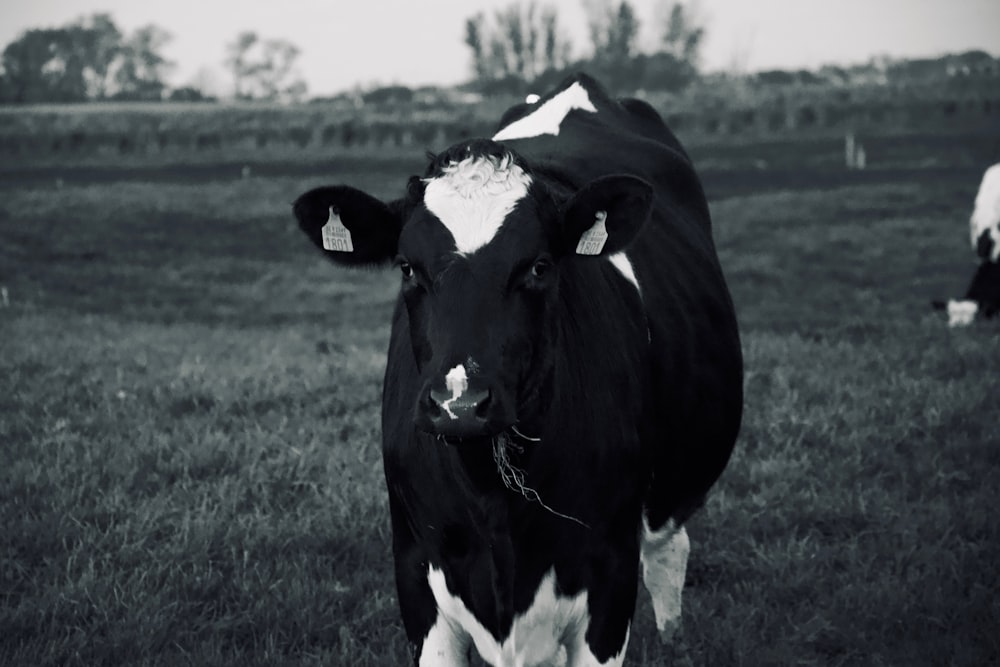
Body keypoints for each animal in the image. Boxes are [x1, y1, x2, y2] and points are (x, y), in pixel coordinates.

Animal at [292, 74, 744, 667]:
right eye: (407, 268)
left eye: (539, 266)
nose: (459, 403)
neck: (494, 495)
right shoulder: (416, 573)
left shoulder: (609, 577)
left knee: (670, 548)